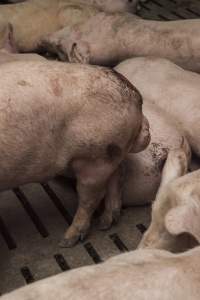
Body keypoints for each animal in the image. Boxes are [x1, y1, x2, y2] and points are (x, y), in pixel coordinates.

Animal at [0, 59, 150, 246]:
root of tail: (135, 95)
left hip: (95, 158)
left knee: (90, 197)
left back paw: (67, 240)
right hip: (109, 153)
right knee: (118, 173)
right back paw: (106, 223)